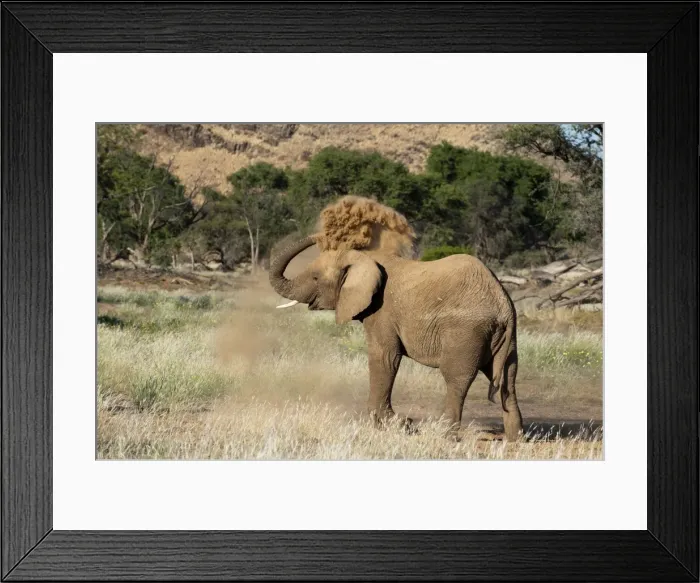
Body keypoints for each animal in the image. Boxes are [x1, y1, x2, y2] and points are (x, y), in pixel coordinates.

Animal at [269, 199, 524, 440]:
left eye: (315, 277)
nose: (320, 234)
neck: (366, 257)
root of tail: (502, 305)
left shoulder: (382, 311)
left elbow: (385, 357)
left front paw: (394, 424)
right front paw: (398, 424)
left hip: (466, 332)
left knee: (457, 379)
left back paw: (445, 435)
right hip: (505, 338)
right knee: (509, 379)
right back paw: (515, 439)